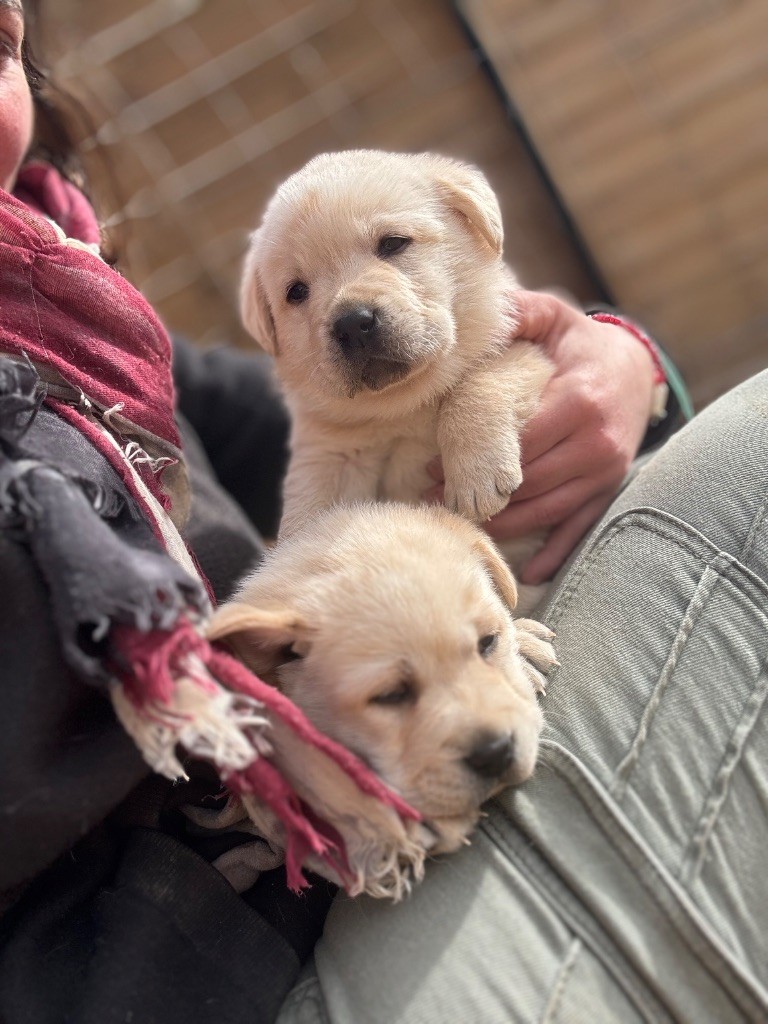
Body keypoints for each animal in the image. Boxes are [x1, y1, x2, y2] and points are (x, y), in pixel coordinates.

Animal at [243, 150, 548, 573]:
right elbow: (311, 512)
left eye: (392, 244)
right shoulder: (329, 452)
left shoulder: (528, 348)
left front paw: (476, 476)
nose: (352, 323)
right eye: (297, 291)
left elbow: (478, 383)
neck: (404, 403)